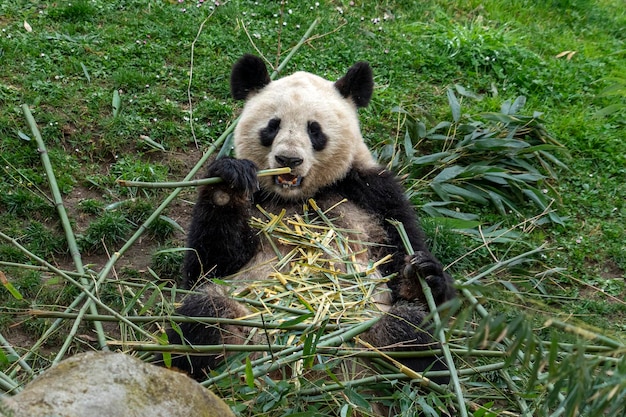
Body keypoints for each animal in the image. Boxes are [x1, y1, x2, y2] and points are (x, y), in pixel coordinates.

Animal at [166, 52, 456, 400]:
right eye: (272, 126)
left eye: (314, 130)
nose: (288, 159)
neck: (299, 197)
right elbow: (206, 268)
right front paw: (230, 181)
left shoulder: (376, 194)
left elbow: (412, 267)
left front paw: (422, 275)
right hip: (240, 328)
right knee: (203, 316)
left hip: (369, 341)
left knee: (411, 335)